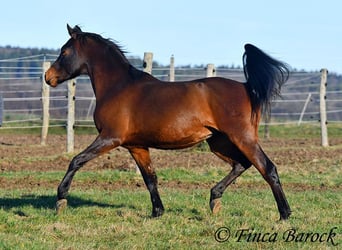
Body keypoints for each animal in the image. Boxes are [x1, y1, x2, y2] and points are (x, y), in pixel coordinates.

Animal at [44, 24, 292, 220]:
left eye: (64, 51)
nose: (48, 77)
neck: (118, 87)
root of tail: (246, 87)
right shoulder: (136, 146)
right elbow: (150, 178)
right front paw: (157, 212)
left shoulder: (110, 137)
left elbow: (76, 160)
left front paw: (61, 199)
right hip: (218, 142)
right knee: (241, 164)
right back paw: (214, 198)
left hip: (242, 137)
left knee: (267, 168)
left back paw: (284, 214)